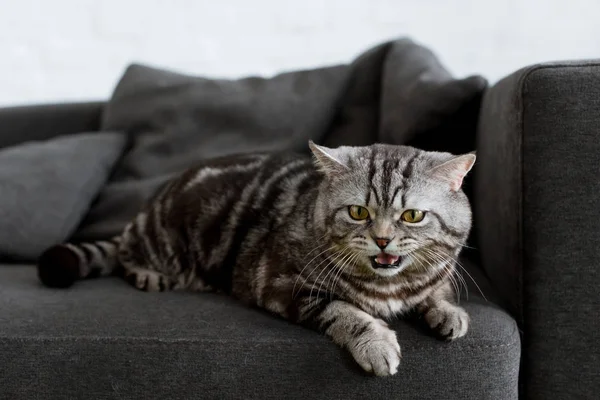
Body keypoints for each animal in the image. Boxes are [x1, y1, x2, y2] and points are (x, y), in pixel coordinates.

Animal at [38, 142, 478, 376]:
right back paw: (148, 274)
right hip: (160, 241)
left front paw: (448, 312)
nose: (383, 241)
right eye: (358, 212)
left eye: (412, 216)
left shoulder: (432, 275)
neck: (390, 286)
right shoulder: (282, 283)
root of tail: (149, 205)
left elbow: (435, 290)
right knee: (127, 253)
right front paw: (377, 344)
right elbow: (346, 312)